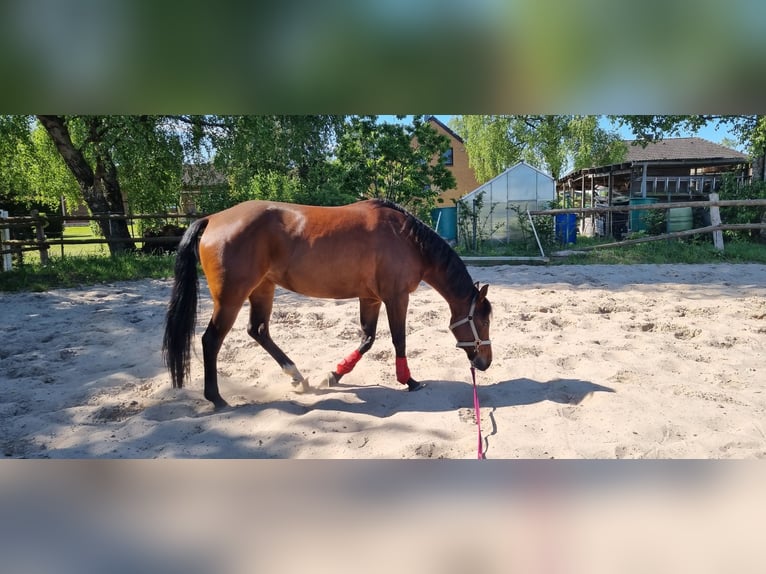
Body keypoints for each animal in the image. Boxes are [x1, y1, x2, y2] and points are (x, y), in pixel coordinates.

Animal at [163, 198, 492, 409]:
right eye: (484, 319)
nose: (485, 362)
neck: (408, 240)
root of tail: (213, 219)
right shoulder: (396, 297)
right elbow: (398, 339)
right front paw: (409, 381)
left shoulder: (371, 298)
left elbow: (367, 339)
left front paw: (334, 375)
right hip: (231, 297)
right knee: (211, 340)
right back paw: (216, 398)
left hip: (263, 289)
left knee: (258, 330)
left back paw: (298, 377)